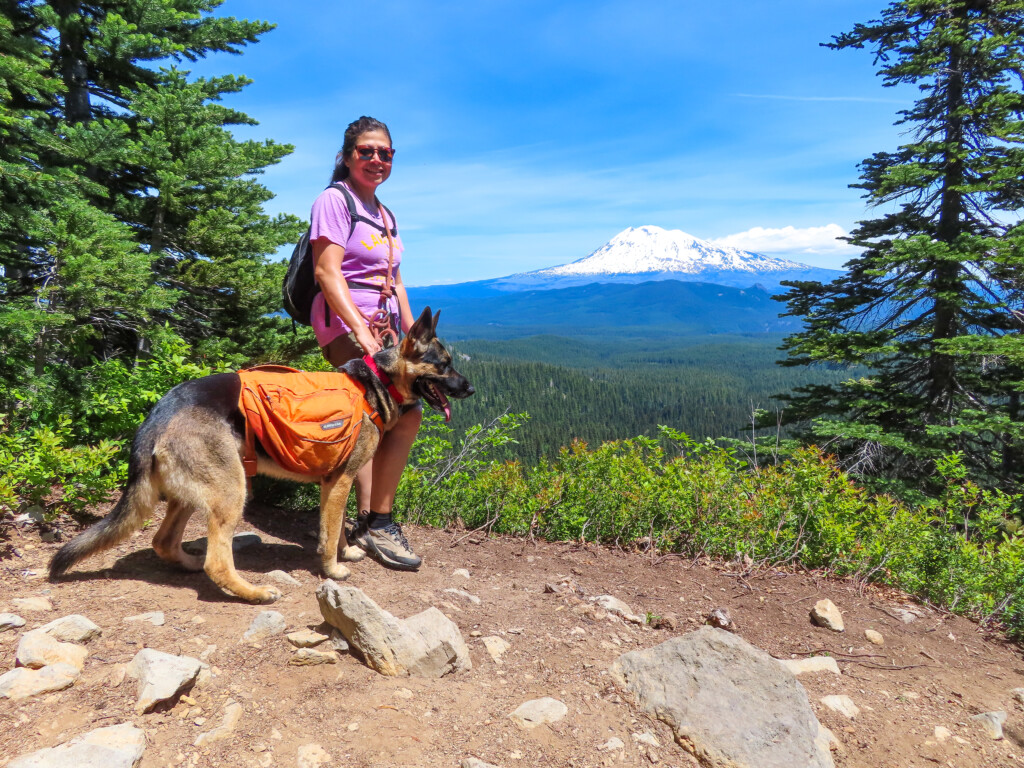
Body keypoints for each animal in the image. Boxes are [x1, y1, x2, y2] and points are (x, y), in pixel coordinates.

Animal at [49, 309, 473, 606]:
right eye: (445, 364)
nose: (469, 388)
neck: (376, 382)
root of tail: (159, 412)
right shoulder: (340, 482)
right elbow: (329, 532)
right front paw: (332, 570)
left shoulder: (336, 483)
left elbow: (335, 529)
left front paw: (345, 553)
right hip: (232, 491)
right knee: (216, 561)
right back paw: (252, 593)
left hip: (195, 494)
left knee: (164, 542)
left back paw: (188, 563)